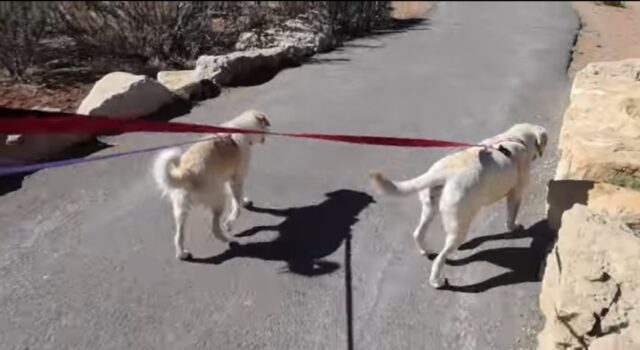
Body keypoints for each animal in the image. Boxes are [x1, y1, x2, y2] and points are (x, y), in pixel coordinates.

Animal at [154, 109, 272, 260]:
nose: (267, 136)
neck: (240, 127)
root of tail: (187, 172)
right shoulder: (236, 178)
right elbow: (237, 205)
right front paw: (230, 222)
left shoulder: (229, 179)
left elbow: (238, 199)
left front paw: (244, 201)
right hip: (218, 199)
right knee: (215, 228)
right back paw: (227, 239)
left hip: (181, 209)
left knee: (178, 235)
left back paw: (182, 253)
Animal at [368, 123, 548, 288]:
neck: (516, 138)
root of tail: (440, 173)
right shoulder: (515, 193)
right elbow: (511, 215)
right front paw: (514, 227)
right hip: (458, 222)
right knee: (440, 258)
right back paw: (436, 281)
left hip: (430, 208)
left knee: (418, 233)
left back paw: (425, 250)